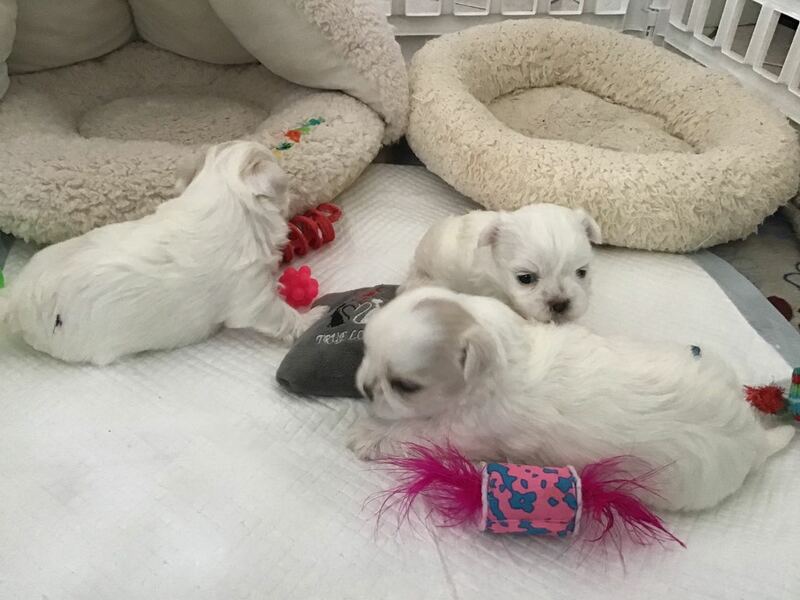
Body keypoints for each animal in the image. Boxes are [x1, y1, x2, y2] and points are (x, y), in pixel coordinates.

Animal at [349, 287, 794, 511]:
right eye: (364, 348)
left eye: (405, 386)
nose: (365, 388)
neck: (505, 353)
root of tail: (752, 438)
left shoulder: (467, 431)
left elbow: (417, 431)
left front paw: (367, 434)